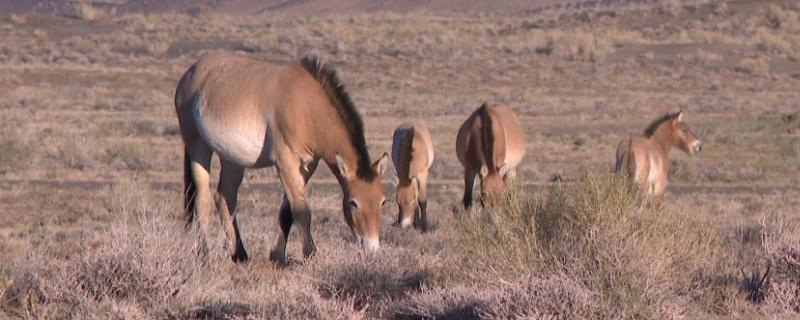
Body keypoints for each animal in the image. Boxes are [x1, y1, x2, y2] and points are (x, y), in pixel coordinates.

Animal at [173, 53, 390, 262]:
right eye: (353, 202)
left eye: (382, 202)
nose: (372, 249)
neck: (306, 105)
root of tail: (190, 74)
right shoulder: (285, 163)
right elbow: (302, 211)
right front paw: (310, 254)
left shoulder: (306, 166)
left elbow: (287, 211)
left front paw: (277, 255)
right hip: (198, 147)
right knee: (203, 199)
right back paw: (204, 254)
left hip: (231, 158)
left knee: (224, 197)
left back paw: (240, 254)